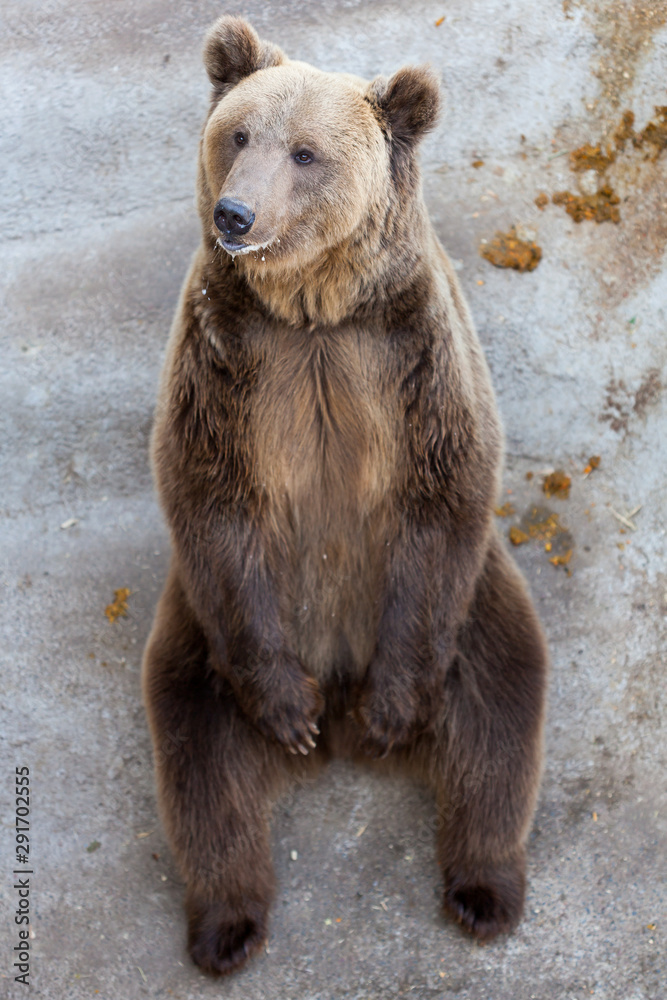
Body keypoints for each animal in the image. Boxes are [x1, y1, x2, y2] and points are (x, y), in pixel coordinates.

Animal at [142, 14, 548, 977]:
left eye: (305, 152)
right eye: (237, 134)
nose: (234, 215)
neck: (312, 309)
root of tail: (338, 702)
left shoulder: (409, 352)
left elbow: (448, 486)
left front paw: (393, 714)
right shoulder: (229, 362)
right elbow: (210, 498)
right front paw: (285, 715)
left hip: (472, 612)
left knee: (497, 721)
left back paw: (481, 888)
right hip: (200, 640)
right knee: (201, 766)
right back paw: (226, 923)